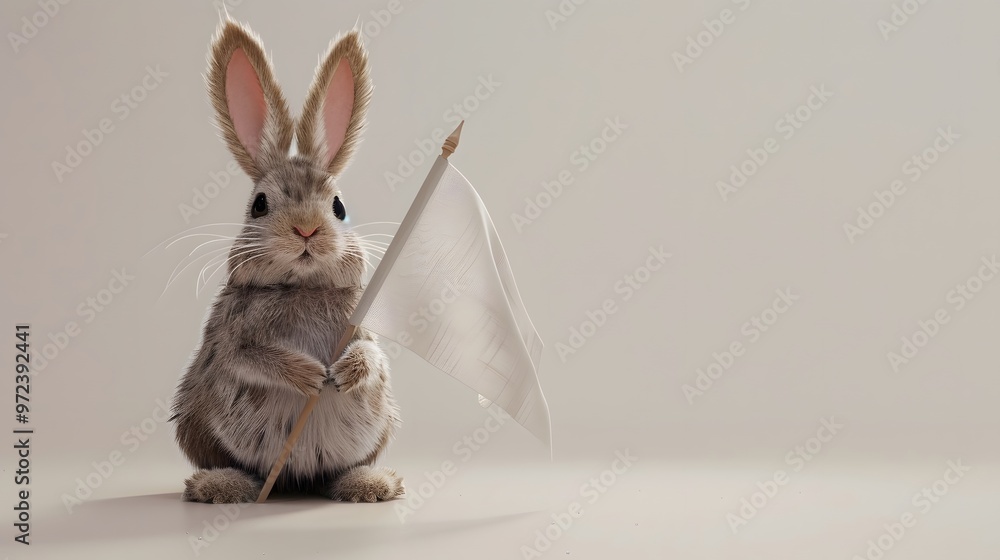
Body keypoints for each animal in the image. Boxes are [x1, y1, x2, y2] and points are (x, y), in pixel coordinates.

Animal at [170, 19, 403, 504]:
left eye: (338, 206)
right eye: (259, 204)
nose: (307, 229)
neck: (302, 285)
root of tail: (295, 479)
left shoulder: (362, 326)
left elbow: (373, 355)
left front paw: (343, 372)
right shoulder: (231, 339)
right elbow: (250, 357)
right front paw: (311, 375)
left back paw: (370, 484)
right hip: (195, 422)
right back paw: (222, 485)